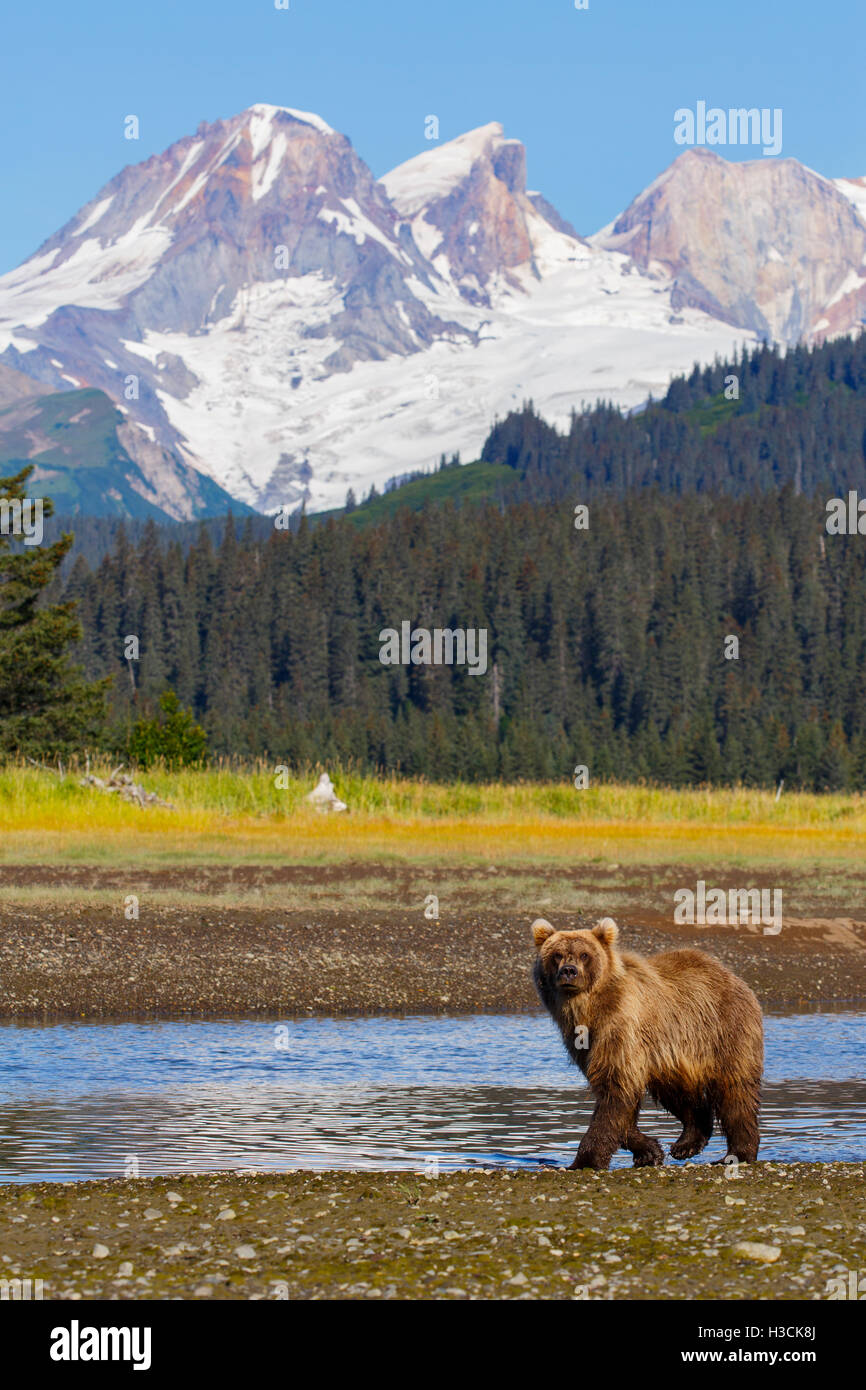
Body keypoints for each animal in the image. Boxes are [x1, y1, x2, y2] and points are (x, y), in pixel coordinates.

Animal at [530, 917, 761, 1167]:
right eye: (557, 955)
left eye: (584, 955)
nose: (569, 971)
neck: (589, 1008)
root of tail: (733, 976)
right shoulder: (583, 1042)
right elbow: (615, 1096)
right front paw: (649, 1150)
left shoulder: (620, 1029)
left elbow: (614, 1090)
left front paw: (585, 1160)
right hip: (672, 1054)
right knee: (678, 1091)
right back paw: (686, 1144)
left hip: (723, 1031)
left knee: (735, 1092)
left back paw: (736, 1154)